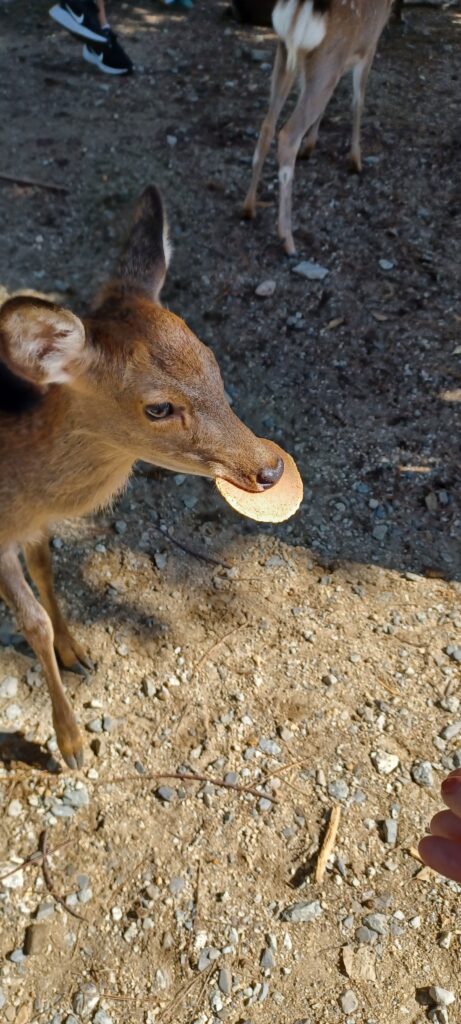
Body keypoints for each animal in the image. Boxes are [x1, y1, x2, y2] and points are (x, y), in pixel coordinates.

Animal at [0, 188, 282, 770]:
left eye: (211, 360)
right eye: (157, 407)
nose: (269, 466)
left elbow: (46, 569)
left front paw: (79, 652)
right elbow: (32, 621)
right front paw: (71, 744)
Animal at [242, 0, 391, 253]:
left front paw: (310, 146)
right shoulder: (370, 43)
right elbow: (358, 101)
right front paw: (356, 160)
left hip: (286, 56)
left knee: (267, 126)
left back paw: (249, 207)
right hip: (326, 62)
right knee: (288, 135)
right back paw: (287, 238)